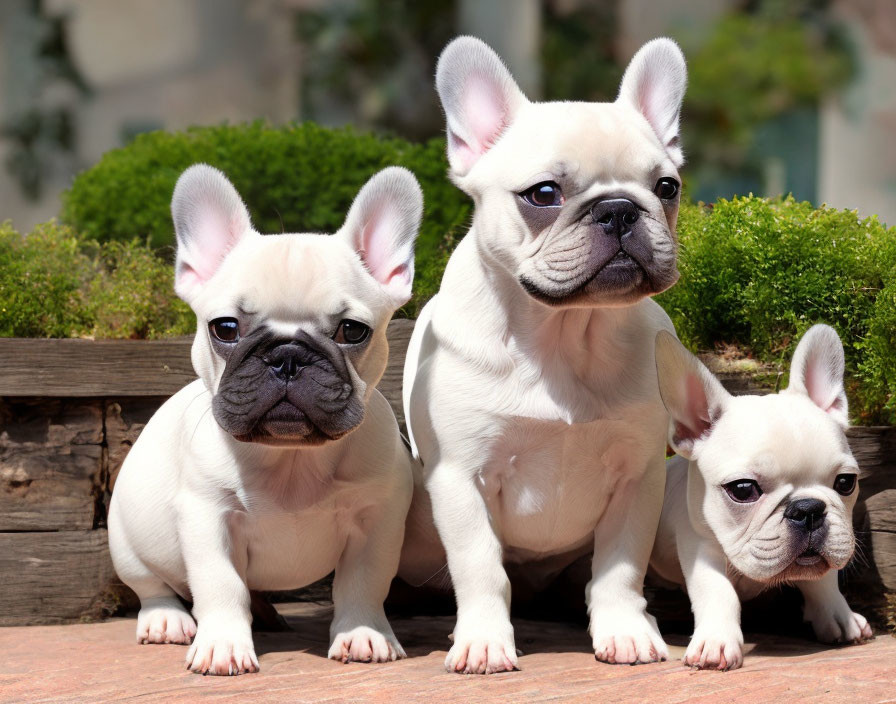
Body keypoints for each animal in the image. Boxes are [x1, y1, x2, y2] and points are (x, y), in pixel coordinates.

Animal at [108, 164, 424, 676]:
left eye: (352, 330)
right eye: (225, 328)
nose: (287, 356)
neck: (290, 458)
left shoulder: (376, 521)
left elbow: (362, 581)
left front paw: (362, 633)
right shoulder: (208, 518)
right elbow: (220, 586)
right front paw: (223, 645)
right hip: (127, 540)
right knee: (151, 585)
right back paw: (165, 621)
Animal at [400, 37, 688, 672]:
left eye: (666, 188)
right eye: (545, 195)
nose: (618, 208)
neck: (564, 334)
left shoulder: (637, 478)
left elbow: (619, 568)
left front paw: (625, 631)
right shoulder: (462, 477)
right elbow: (480, 567)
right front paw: (484, 641)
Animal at [652, 326, 876, 672]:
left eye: (846, 482)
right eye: (743, 489)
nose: (808, 509)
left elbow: (824, 580)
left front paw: (840, 616)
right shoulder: (699, 544)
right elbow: (716, 590)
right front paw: (717, 643)